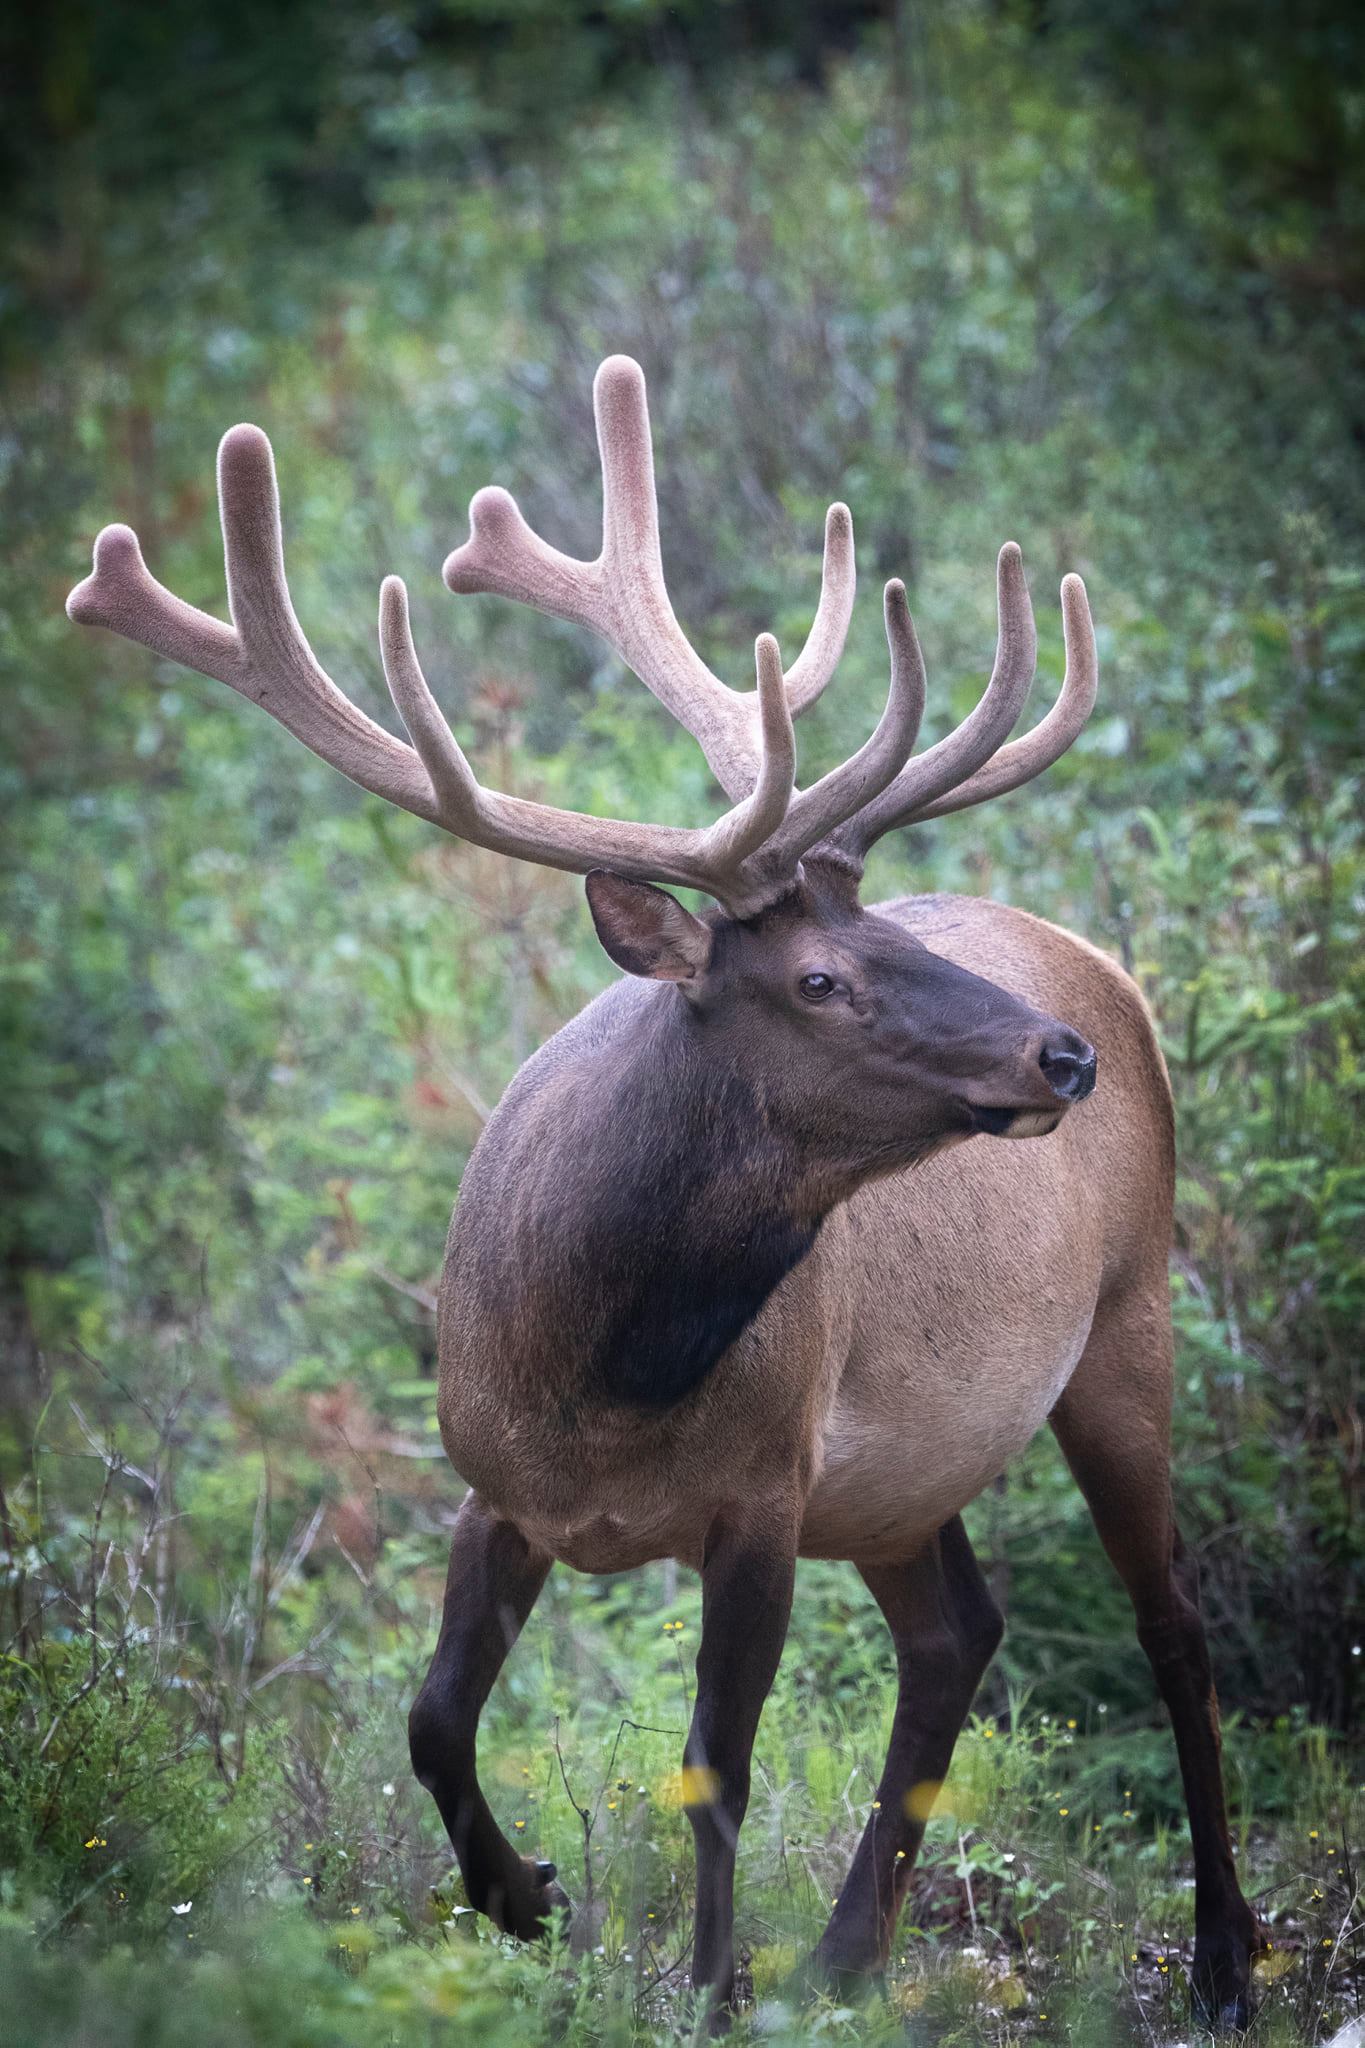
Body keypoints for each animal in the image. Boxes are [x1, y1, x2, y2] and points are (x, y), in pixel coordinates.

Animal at [68, 355, 1260, 2028]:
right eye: (822, 975)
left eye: (886, 934)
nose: (1060, 1053)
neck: (607, 1375)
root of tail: (1111, 967)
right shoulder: (492, 1481)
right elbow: (432, 1717)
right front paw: (524, 1897)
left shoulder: (762, 1488)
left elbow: (714, 1768)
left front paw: (702, 1988)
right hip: (899, 1477)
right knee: (959, 1631)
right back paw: (844, 1955)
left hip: (1125, 1320)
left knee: (1174, 1626)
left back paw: (1220, 1957)